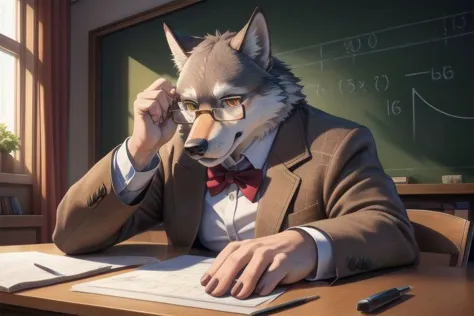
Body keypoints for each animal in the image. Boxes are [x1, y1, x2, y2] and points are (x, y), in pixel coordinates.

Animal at [54, 7, 418, 298]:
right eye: (188, 106)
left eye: (229, 102)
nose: (193, 148)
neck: (235, 169)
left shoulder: (365, 175)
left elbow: (381, 216)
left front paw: (262, 252)